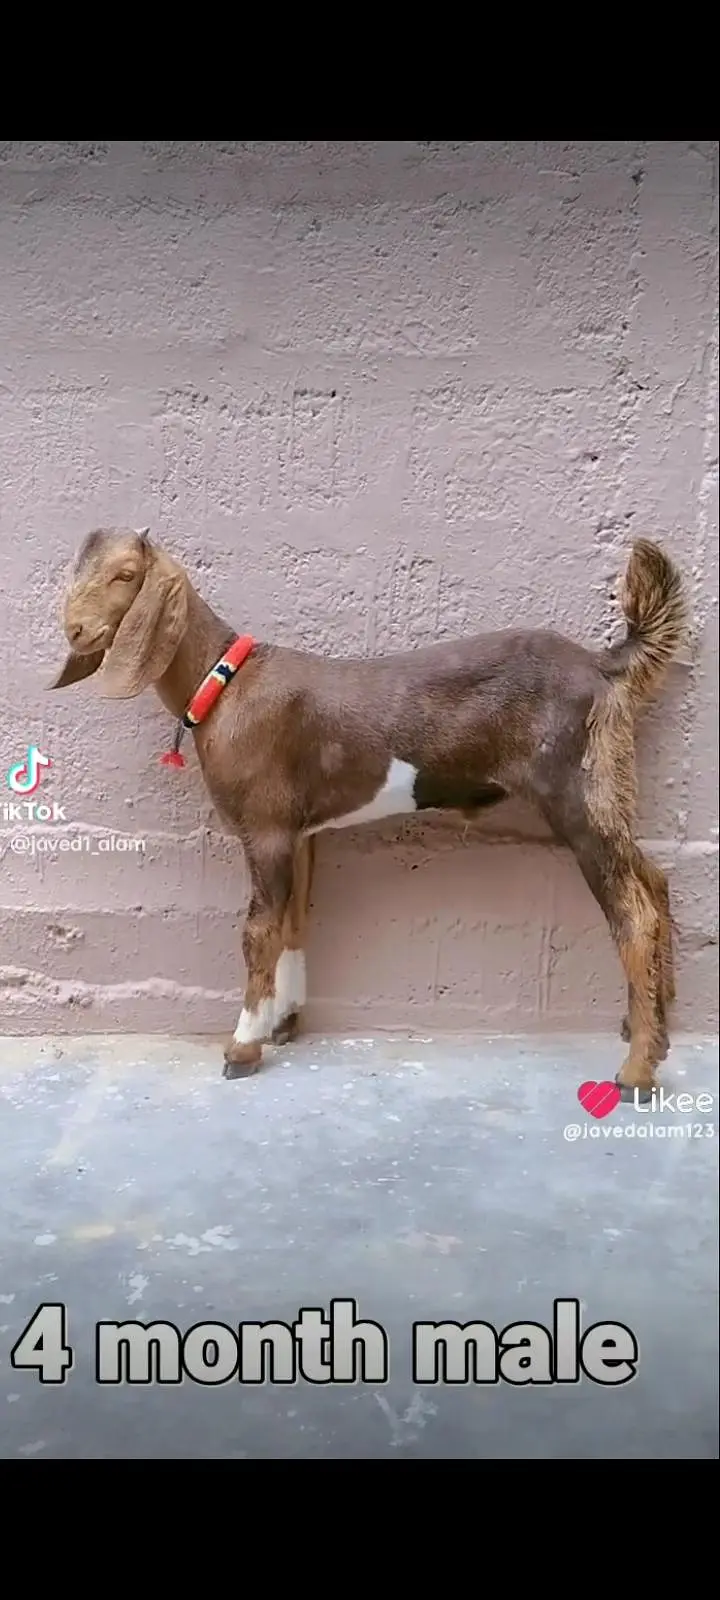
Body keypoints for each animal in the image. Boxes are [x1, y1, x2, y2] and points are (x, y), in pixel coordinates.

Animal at [49, 528, 686, 1099]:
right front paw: (285, 1021)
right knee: (655, 880)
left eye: (126, 575)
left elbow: (258, 931)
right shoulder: (300, 832)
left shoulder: (266, 827)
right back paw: (652, 1027)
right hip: (606, 790)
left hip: (576, 789)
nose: (74, 628)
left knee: (633, 911)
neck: (224, 682)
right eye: (76, 570)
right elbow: (294, 921)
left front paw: (243, 1046)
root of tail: (603, 668)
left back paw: (635, 1072)